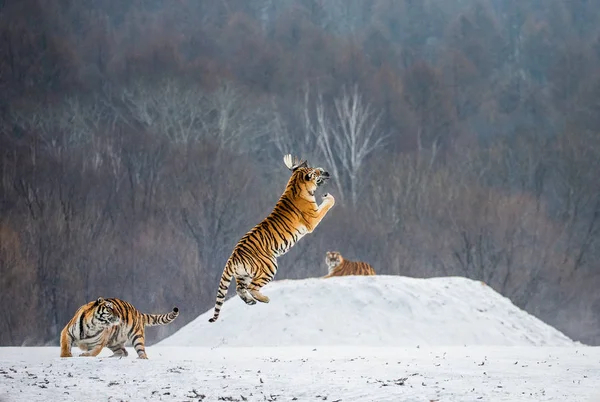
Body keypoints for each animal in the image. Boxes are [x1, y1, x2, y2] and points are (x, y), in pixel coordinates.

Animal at [209, 155, 336, 324]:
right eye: (317, 172)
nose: (326, 172)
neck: (295, 184)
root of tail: (233, 257)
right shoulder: (313, 218)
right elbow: (328, 204)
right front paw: (328, 196)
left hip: (243, 275)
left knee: (240, 289)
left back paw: (251, 301)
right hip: (269, 266)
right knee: (252, 287)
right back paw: (264, 299)